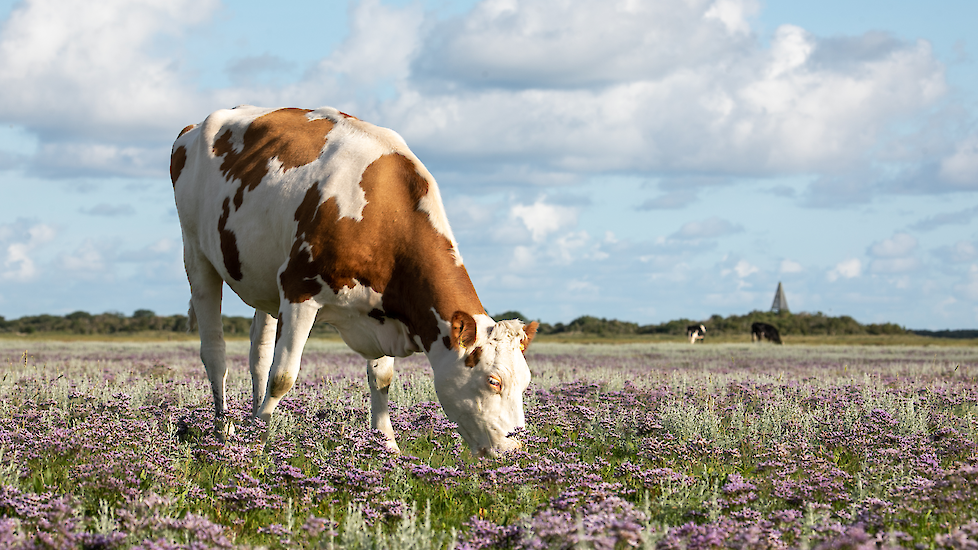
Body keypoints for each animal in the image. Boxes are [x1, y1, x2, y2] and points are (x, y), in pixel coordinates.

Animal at [173, 105, 540, 460]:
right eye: (493, 381)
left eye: (526, 382)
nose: (514, 452)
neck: (383, 213)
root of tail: (195, 127)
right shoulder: (299, 290)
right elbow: (283, 377)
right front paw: (258, 444)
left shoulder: (383, 310)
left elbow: (381, 378)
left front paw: (387, 445)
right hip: (196, 254)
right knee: (215, 353)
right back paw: (224, 430)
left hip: (262, 283)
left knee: (258, 357)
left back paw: (249, 420)